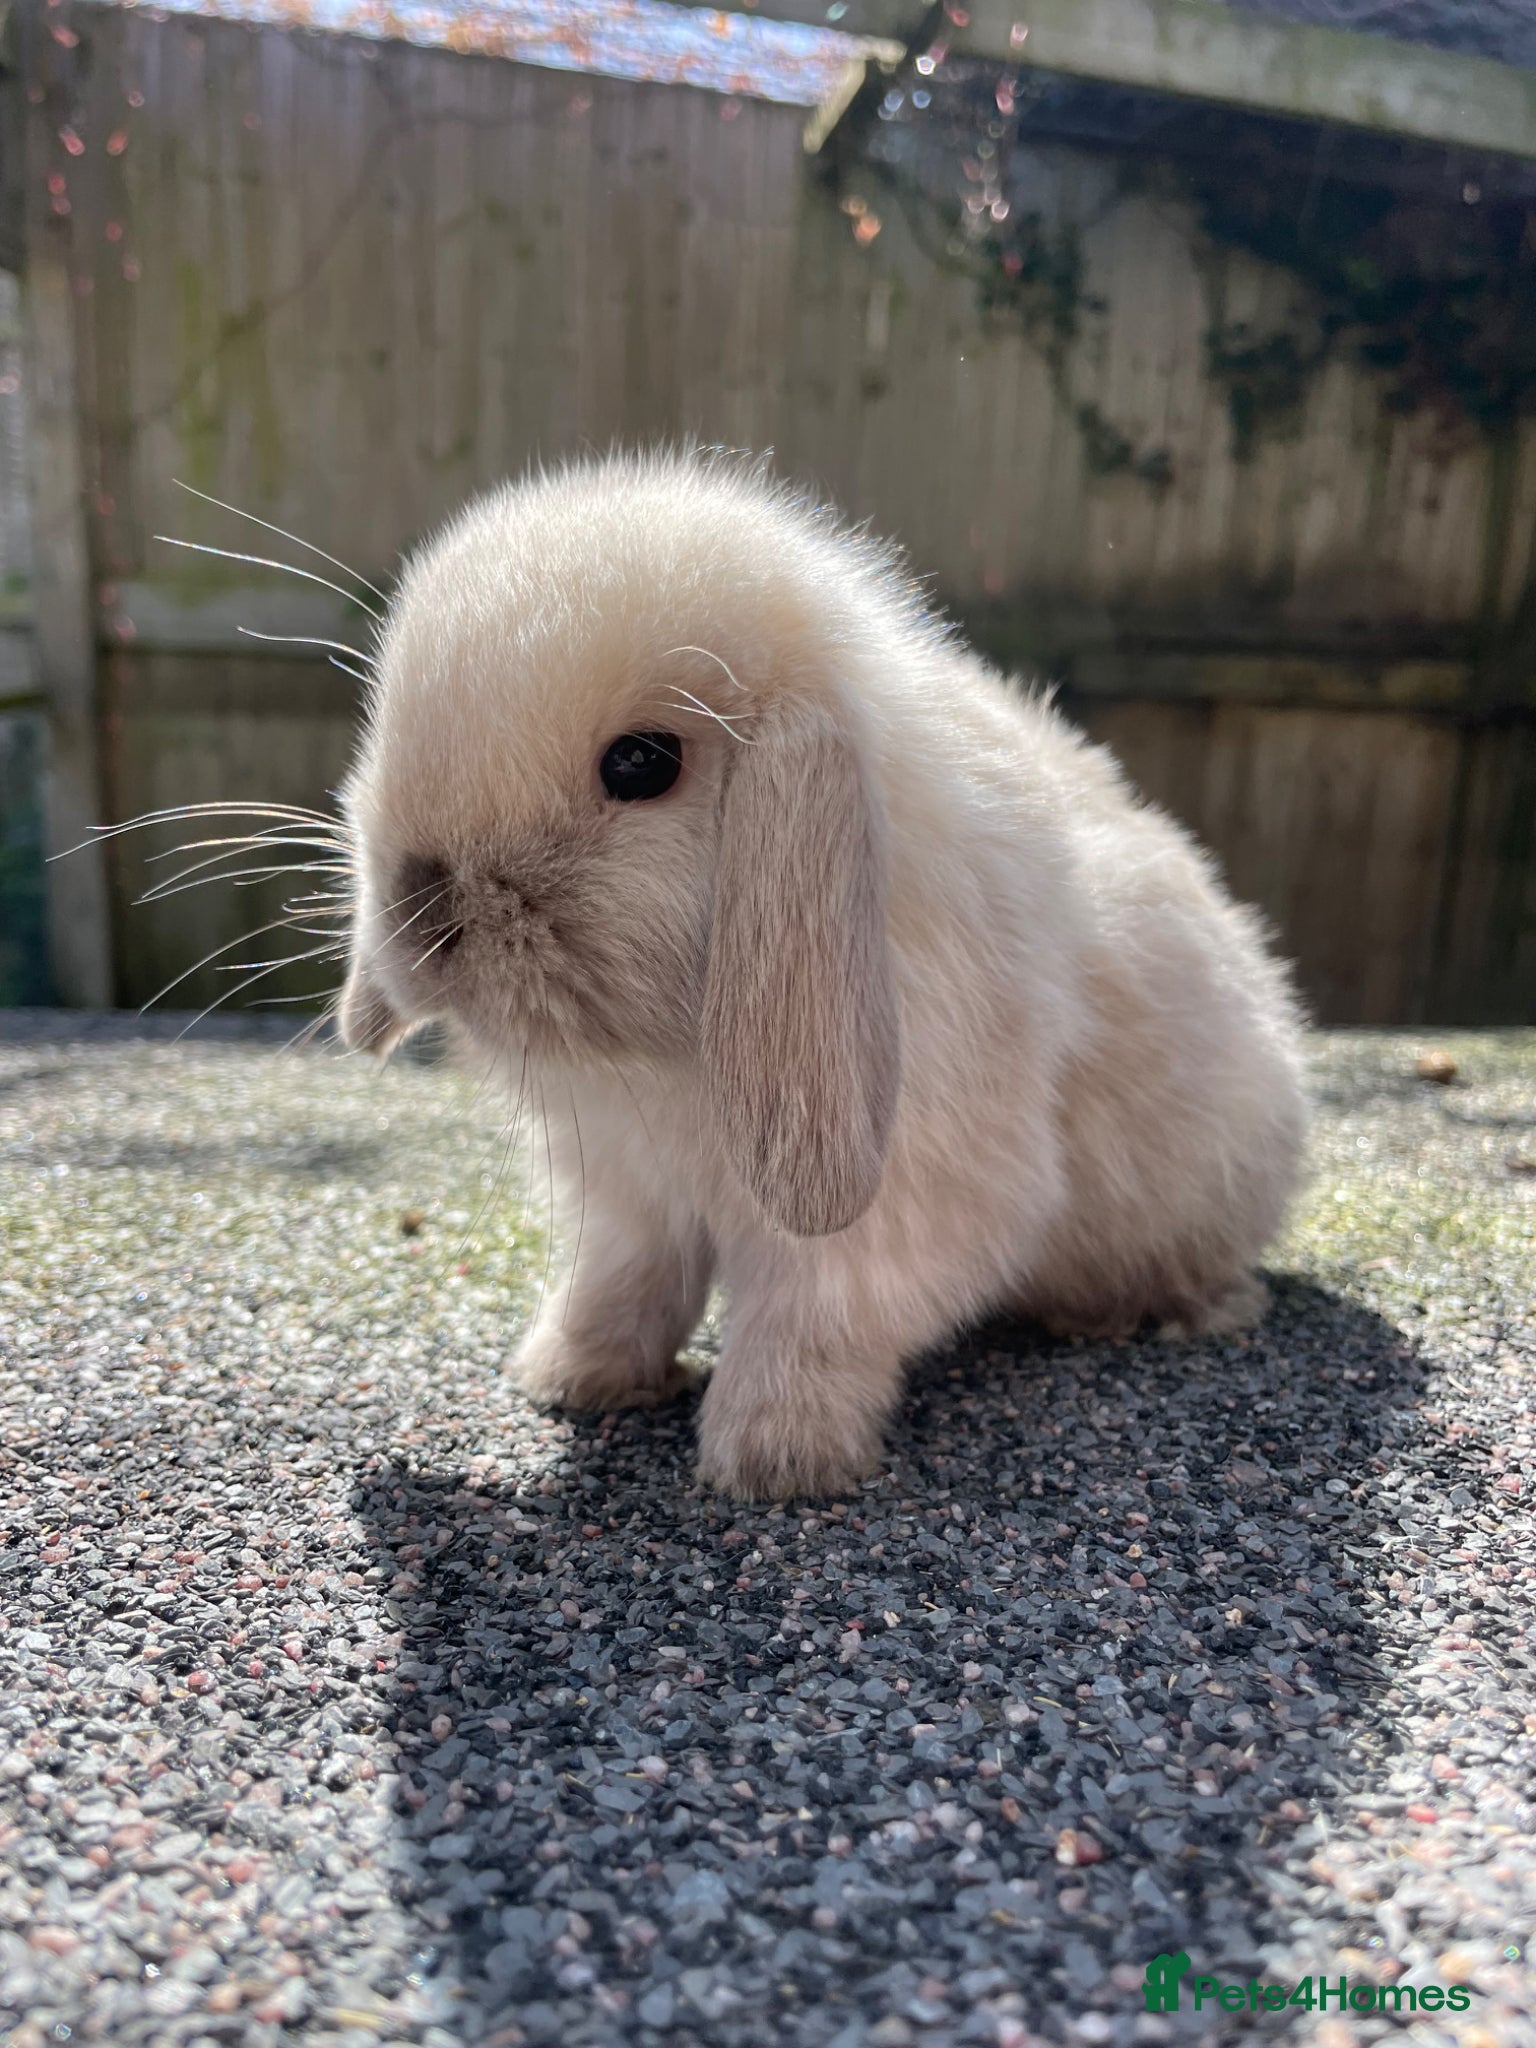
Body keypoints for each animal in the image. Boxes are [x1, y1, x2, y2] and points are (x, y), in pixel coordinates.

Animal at [338, 449, 1308, 1499]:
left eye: (641, 763)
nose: (420, 911)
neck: (656, 1058)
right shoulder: (633, 1203)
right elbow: (622, 1285)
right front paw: (571, 1379)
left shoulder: (891, 1211)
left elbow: (810, 1326)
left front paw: (772, 1462)